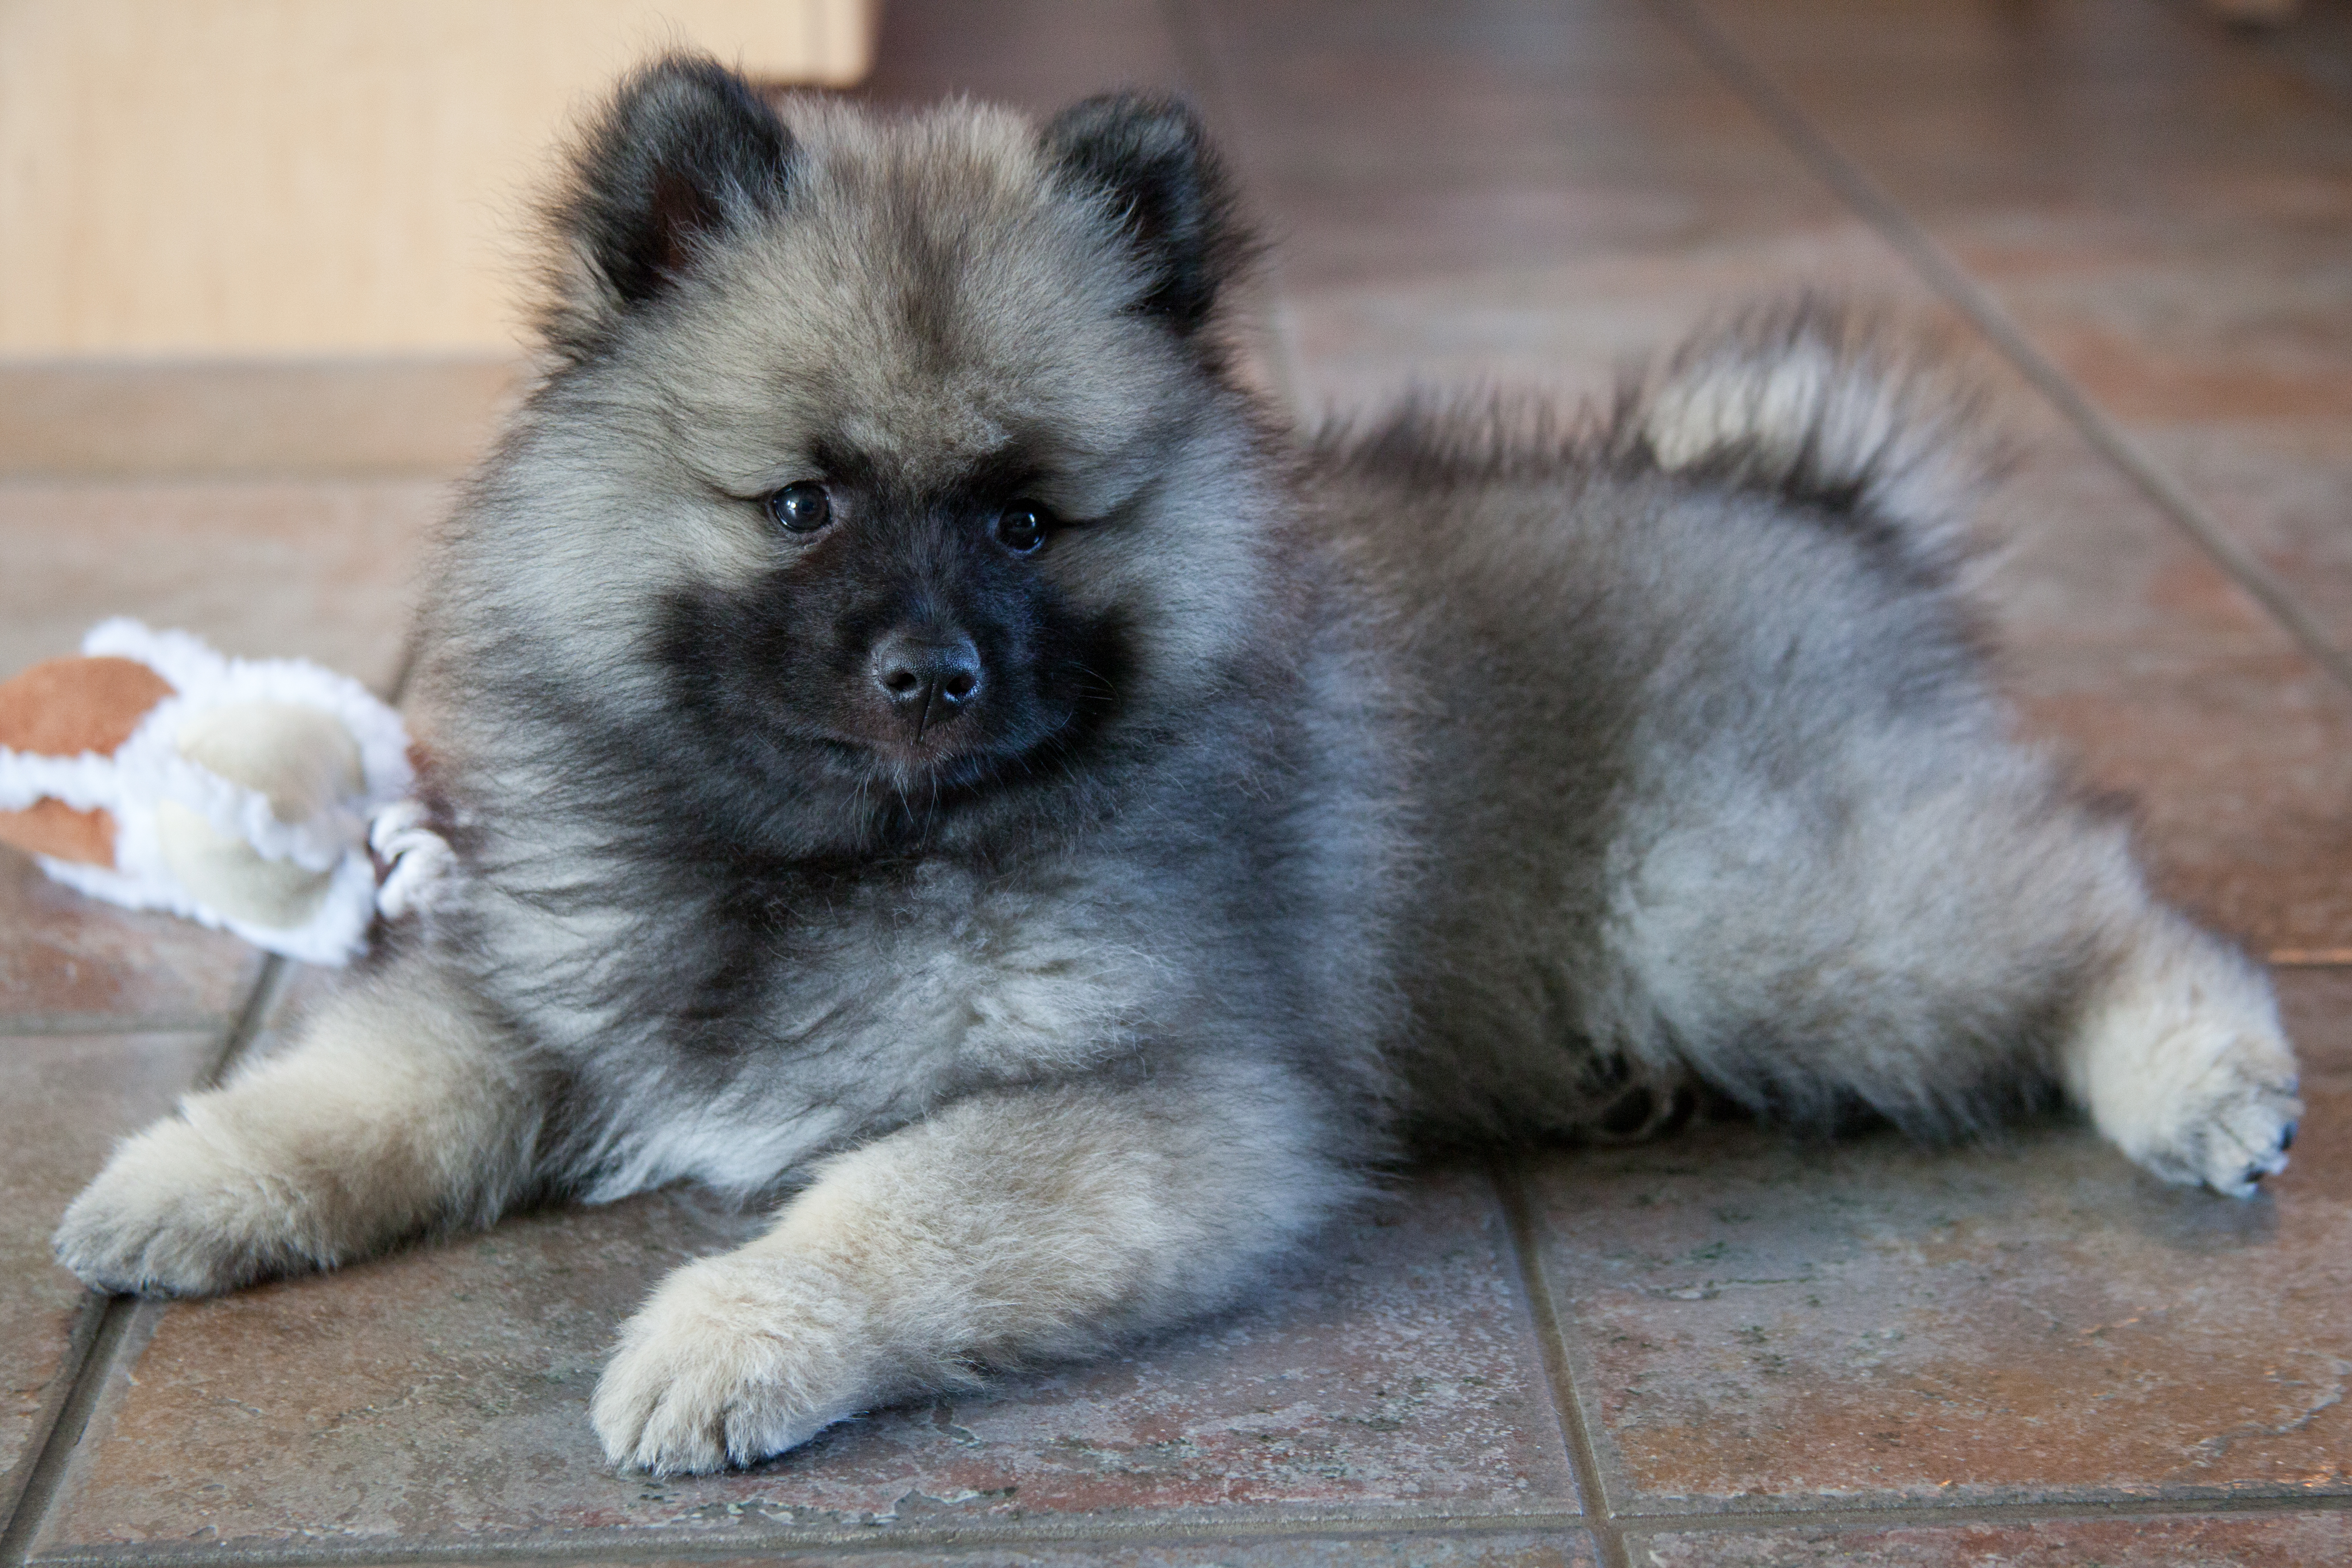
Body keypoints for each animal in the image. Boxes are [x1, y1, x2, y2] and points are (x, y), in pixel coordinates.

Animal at [50, 61, 2295, 1476]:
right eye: (804, 504)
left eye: (1025, 517)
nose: (933, 671)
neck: (840, 856)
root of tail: (1813, 505)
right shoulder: (556, 992)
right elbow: (369, 1082)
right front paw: (187, 1178)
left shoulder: (1158, 1102)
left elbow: (887, 1212)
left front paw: (724, 1333)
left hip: (1754, 916)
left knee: (2111, 905)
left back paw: (2210, 1083)